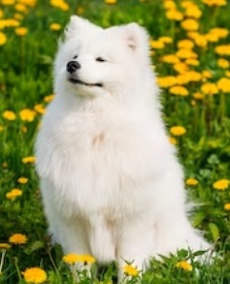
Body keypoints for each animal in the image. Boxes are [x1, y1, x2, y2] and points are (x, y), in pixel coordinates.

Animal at [35, 16, 210, 280]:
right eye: (74, 55)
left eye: (100, 59)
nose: (72, 65)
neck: (94, 127)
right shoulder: (71, 219)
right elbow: (80, 263)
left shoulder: (132, 221)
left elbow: (129, 263)